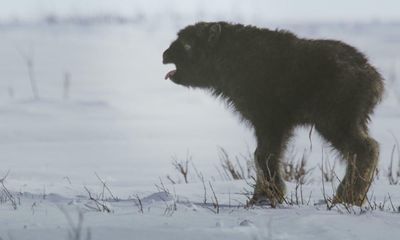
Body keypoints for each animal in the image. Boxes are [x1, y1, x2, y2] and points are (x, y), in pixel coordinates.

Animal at [162, 21, 384, 206]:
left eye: (186, 43)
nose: (165, 54)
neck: (231, 58)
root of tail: (374, 78)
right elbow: (262, 155)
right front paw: (262, 195)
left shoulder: (270, 120)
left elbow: (264, 155)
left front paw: (266, 196)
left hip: (334, 119)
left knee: (365, 148)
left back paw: (347, 197)